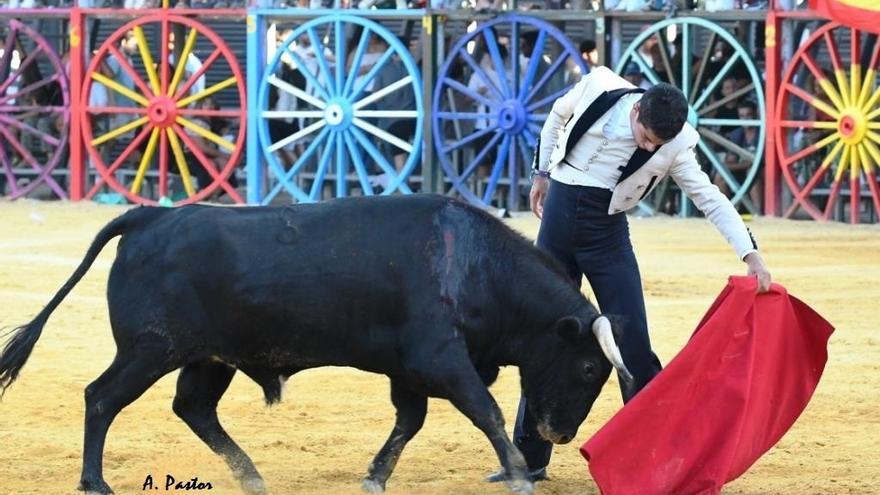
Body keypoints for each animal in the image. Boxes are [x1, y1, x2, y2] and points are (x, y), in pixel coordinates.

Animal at [0, 195, 632, 495]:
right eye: (586, 368)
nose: (559, 435)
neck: (477, 265)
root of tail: (150, 218)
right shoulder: (441, 359)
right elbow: (487, 411)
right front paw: (520, 473)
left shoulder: (409, 370)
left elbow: (409, 422)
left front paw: (375, 476)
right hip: (149, 351)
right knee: (101, 398)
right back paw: (95, 481)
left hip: (207, 358)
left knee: (193, 408)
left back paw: (250, 475)